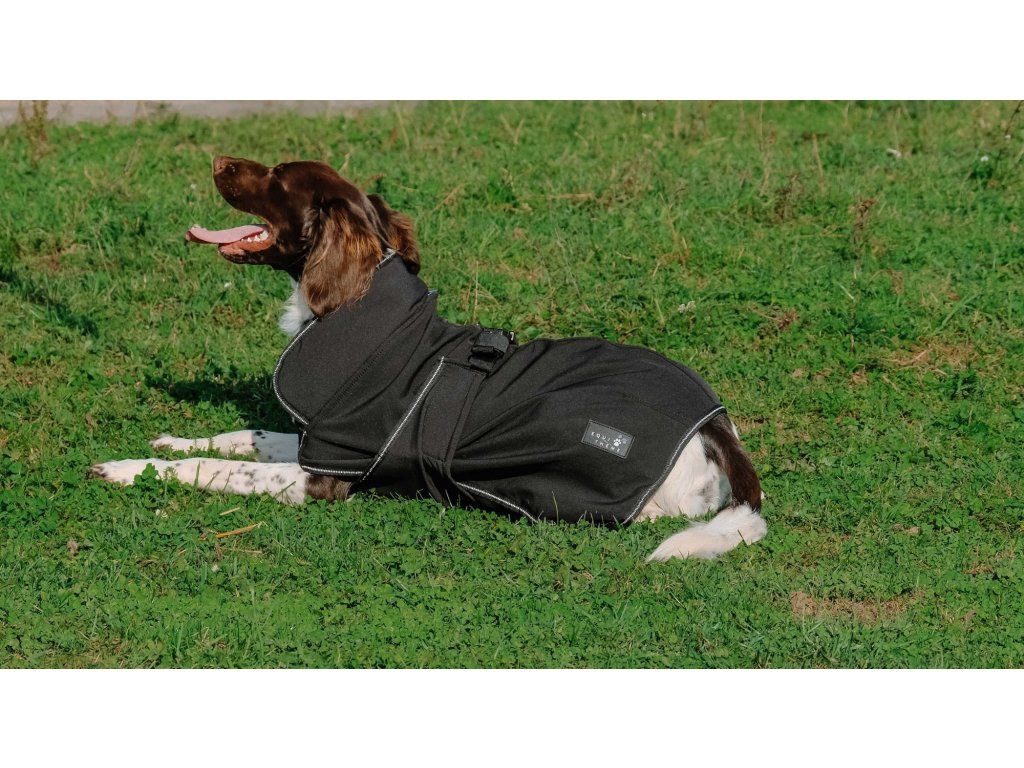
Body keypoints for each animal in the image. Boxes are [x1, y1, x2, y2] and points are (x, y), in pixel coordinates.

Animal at [91, 156, 767, 560]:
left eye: (277, 176)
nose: (217, 161)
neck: (354, 310)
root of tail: (717, 428)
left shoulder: (325, 475)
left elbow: (218, 470)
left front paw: (130, 469)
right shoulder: (324, 440)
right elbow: (243, 436)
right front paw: (170, 441)